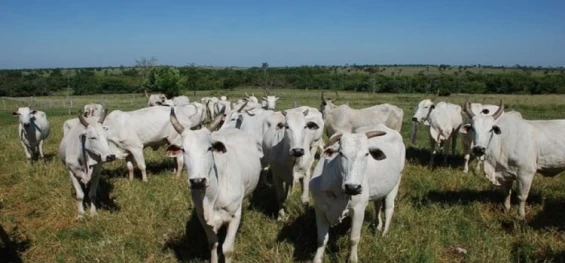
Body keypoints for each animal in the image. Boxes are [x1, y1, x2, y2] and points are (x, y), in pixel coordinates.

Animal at [170, 108, 262, 262]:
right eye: (183, 150)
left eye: (209, 148)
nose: (198, 181)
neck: (213, 197)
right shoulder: (203, 217)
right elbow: (213, 244)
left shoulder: (234, 216)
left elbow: (227, 249)